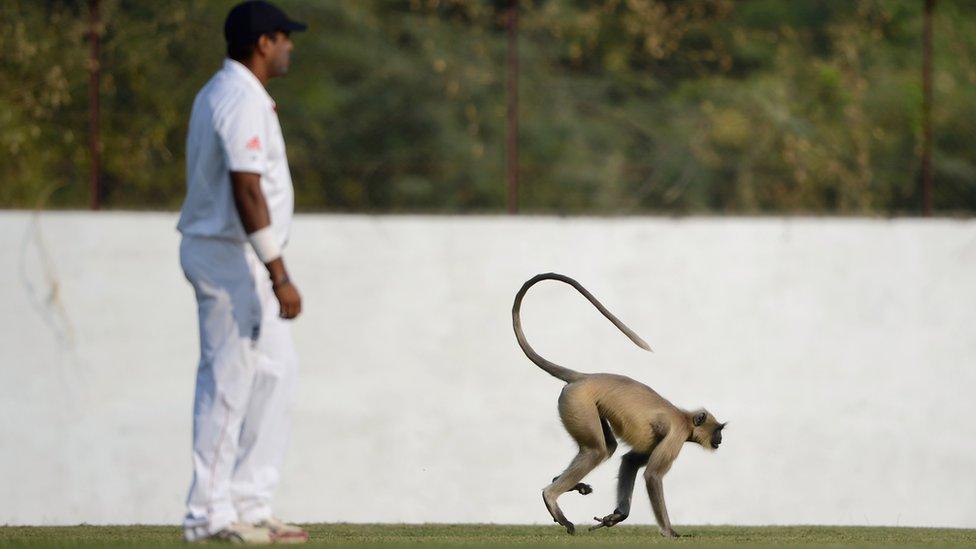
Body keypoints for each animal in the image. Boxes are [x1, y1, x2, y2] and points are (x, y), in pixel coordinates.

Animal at [510, 272, 724, 536]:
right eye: (717, 430)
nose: (720, 439)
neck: (684, 417)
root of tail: (583, 377)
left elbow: (629, 461)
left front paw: (618, 516)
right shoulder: (677, 434)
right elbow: (652, 475)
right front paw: (670, 533)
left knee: (608, 447)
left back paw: (562, 484)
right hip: (578, 402)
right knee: (597, 451)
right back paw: (552, 497)